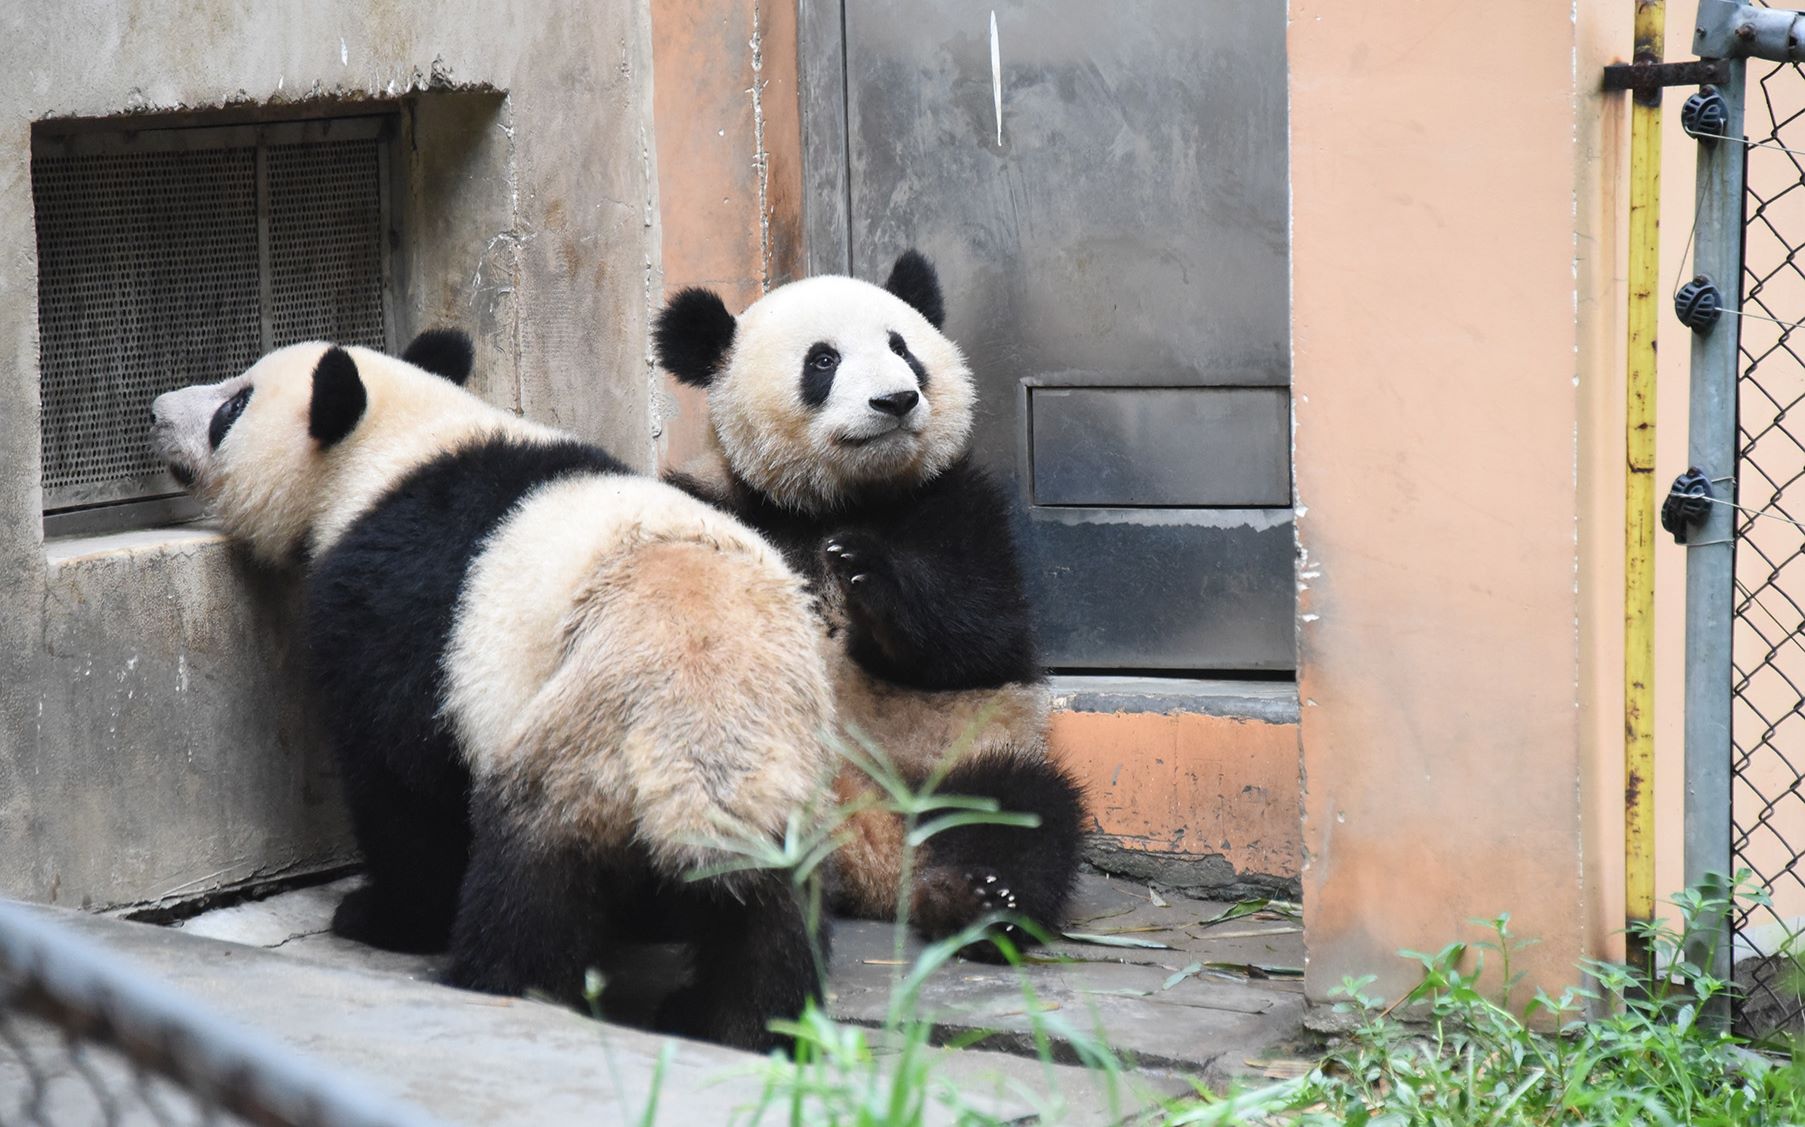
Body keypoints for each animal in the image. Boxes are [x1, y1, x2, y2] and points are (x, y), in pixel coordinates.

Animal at [151, 330, 833, 1054]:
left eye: (233, 407)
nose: (157, 411)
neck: (398, 447)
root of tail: (704, 710)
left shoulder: (399, 603)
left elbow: (401, 775)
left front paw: (383, 916)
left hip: (581, 729)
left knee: (530, 876)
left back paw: (502, 982)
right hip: (781, 761)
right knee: (771, 910)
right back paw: (747, 1022)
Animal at [660, 252, 1083, 953]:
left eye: (901, 347)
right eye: (823, 361)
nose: (896, 400)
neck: (838, 500)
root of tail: (867, 851)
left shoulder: (956, 501)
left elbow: (984, 632)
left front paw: (866, 574)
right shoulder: (715, 498)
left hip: (966, 755)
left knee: (1023, 811)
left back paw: (968, 899)